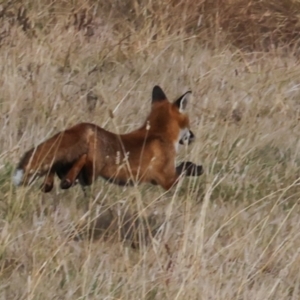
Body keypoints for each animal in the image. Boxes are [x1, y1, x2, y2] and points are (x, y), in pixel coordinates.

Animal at [12, 85, 203, 192]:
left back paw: (52, 183)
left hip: (72, 169)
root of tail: (83, 127)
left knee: (55, 170)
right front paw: (196, 168)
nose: (194, 137)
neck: (158, 134)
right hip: (91, 173)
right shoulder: (167, 180)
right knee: (75, 170)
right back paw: (67, 179)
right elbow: (183, 168)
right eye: (189, 124)